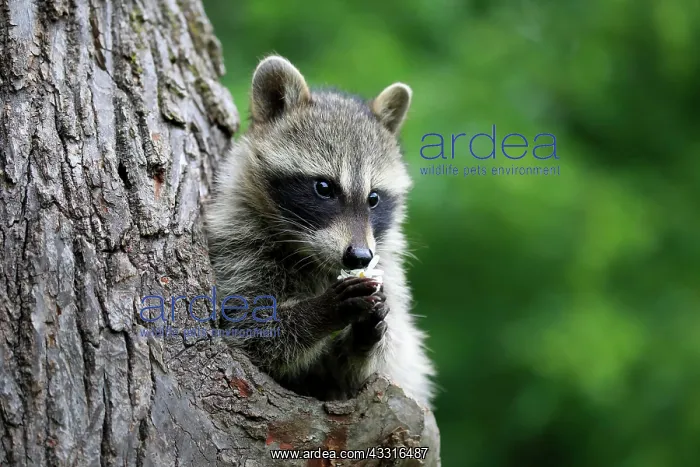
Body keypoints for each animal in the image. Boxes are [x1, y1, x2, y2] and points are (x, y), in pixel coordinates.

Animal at [206, 56, 435, 408]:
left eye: (373, 198)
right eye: (324, 188)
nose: (359, 256)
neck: (311, 255)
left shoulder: (388, 268)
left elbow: (360, 371)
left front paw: (365, 337)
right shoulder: (239, 244)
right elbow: (252, 330)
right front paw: (321, 311)